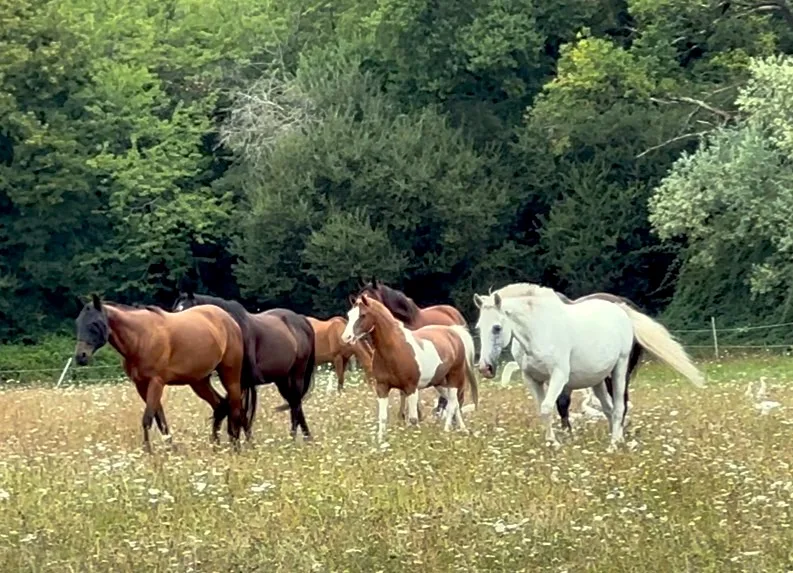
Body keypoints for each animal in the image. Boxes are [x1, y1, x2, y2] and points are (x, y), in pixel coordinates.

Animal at [73, 295, 248, 451]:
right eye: (78, 323)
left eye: (95, 323)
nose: (81, 356)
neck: (141, 338)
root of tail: (230, 320)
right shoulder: (141, 385)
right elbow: (160, 419)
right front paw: (170, 448)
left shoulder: (156, 383)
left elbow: (148, 419)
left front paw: (148, 450)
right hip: (199, 381)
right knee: (220, 406)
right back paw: (215, 445)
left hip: (230, 376)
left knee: (235, 408)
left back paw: (236, 446)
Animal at [172, 291, 316, 441]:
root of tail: (302, 320)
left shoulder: (241, 381)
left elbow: (238, 410)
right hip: (281, 379)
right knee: (294, 403)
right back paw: (301, 437)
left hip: (297, 374)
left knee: (296, 403)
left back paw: (297, 437)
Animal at [341, 294, 479, 442]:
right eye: (349, 314)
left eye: (363, 315)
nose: (346, 337)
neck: (395, 348)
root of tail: (454, 331)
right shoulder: (382, 387)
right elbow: (382, 417)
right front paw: (381, 442)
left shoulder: (411, 388)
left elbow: (413, 419)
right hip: (440, 383)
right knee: (455, 403)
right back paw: (463, 429)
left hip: (454, 377)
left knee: (453, 402)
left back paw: (447, 431)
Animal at [474, 283, 705, 451]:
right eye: (478, 327)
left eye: (497, 327)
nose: (485, 367)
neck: (538, 329)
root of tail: (621, 309)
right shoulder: (532, 379)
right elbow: (543, 410)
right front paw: (551, 441)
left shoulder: (559, 376)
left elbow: (549, 407)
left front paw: (555, 444)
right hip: (597, 380)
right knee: (609, 409)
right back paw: (617, 438)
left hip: (619, 371)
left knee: (620, 407)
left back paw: (614, 444)